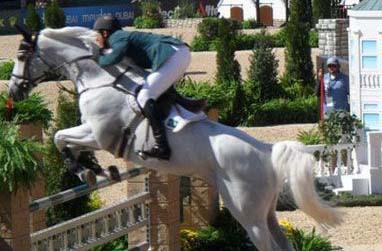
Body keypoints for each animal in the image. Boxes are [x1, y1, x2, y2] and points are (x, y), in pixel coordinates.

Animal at [7, 26, 338, 250]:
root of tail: (268, 152)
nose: (13, 92)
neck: (99, 78)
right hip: (266, 212)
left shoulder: (99, 134)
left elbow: (60, 138)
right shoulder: (95, 133)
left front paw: (88, 171)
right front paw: (103, 171)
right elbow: (62, 140)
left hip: (248, 214)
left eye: (22, 55)